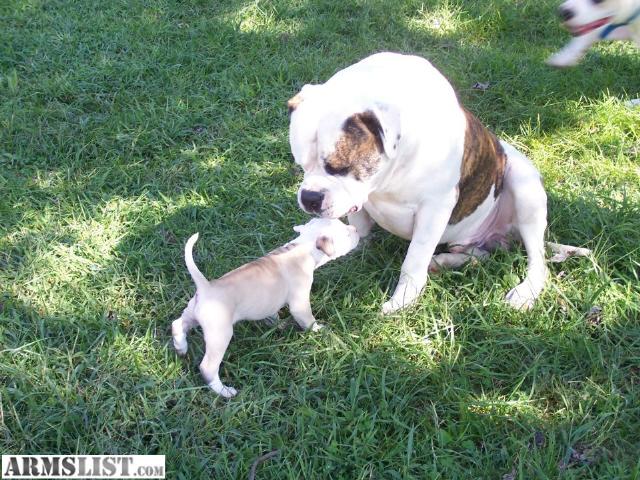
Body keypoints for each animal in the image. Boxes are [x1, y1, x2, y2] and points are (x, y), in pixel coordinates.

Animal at [170, 218, 360, 398]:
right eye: (346, 234)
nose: (356, 229)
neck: (304, 246)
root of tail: (206, 287)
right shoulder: (300, 303)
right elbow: (308, 320)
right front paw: (320, 330)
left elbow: (273, 315)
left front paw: (278, 324)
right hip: (219, 334)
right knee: (208, 366)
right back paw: (224, 391)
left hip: (192, 314)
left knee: (177, 324)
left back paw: (181, 348)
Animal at [288, 53, 588, 316]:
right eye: (301, 165)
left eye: (339, 167)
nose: (310, 197)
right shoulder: (359, 201)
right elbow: (360, 225)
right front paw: (350, 247)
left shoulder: (434, 208)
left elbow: (414, 258)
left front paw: (403, 300)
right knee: (481, 254)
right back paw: (447, 261)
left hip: (524, 185)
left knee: (538, 261)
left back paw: (525, 292)